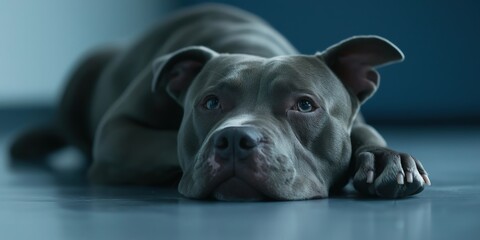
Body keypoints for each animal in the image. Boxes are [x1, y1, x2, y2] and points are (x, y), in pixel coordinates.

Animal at [10, 3, 432, 200]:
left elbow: (365, 132)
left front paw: (386, 161)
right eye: (210, 103)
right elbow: (164, 142)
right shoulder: (116, 133)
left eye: (305, 105)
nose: (233, 139)